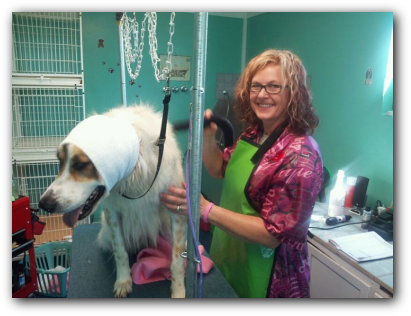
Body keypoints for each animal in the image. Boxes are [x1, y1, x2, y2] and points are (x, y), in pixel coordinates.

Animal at [38, 105, 187, 298]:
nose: (43, 204)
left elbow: (177, 260)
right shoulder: (113, 215)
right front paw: (124, 282)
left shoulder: (176, 211)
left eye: (80, 165)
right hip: (106, 234)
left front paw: (178, 290)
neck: (133, 174)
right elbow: (120, 251)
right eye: (60, 163)